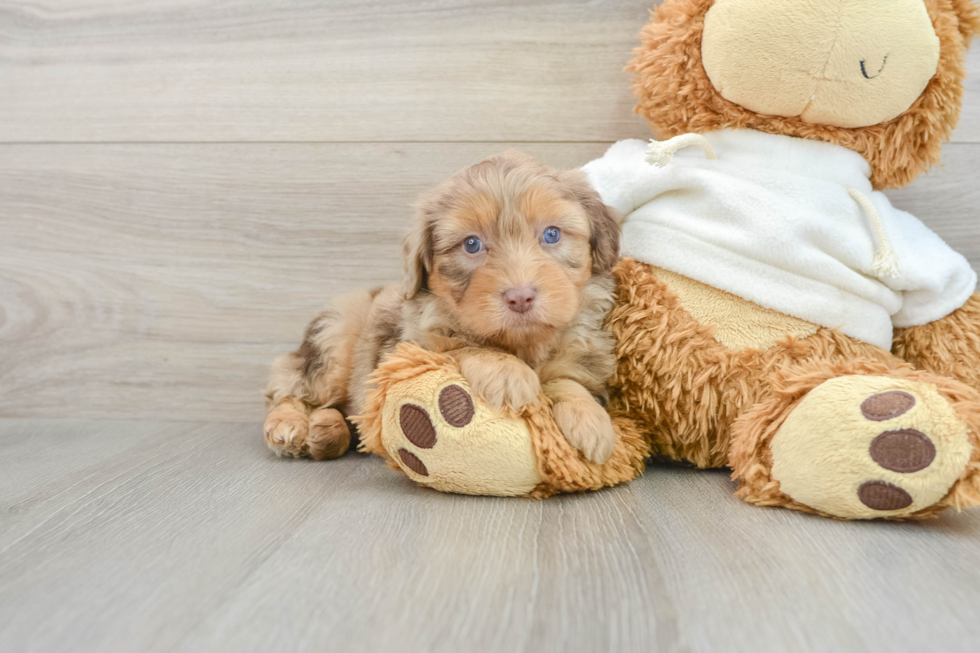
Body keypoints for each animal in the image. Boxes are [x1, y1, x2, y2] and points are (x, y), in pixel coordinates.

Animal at [262, 148, 620, 464]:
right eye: (472, 244)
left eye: (552, 234)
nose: (520, 297)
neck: (522, 344)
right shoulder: (410, 348)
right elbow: (459, 347)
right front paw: (507, 372)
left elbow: (567, 379)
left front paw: (590, 419)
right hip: (334, 339)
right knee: (289, 385)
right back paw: (289, 425)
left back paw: (328, 431)